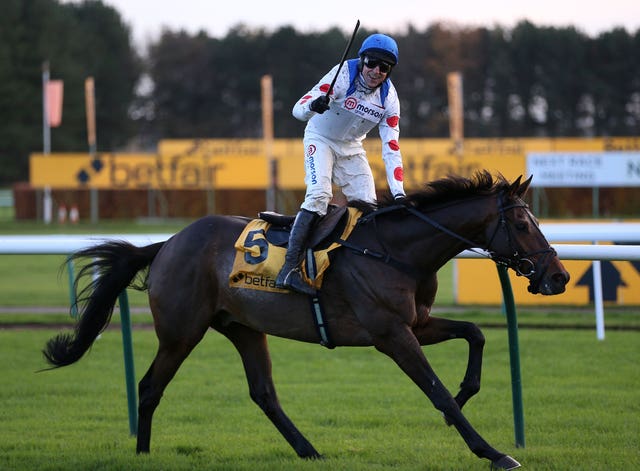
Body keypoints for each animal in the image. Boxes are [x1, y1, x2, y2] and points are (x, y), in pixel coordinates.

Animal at [41, 171, 568, 470]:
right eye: (523, 224)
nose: (559, 276)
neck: (395, 251)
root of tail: (167, 243)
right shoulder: (391, 334)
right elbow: (436, 391)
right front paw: (494, 452)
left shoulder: (416, 323)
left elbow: (475, 335)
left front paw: (465, 392)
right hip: (181, 331)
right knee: (151, 386)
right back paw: (143, 454)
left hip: (243, 327)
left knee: (263, 393)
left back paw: (309, 450)